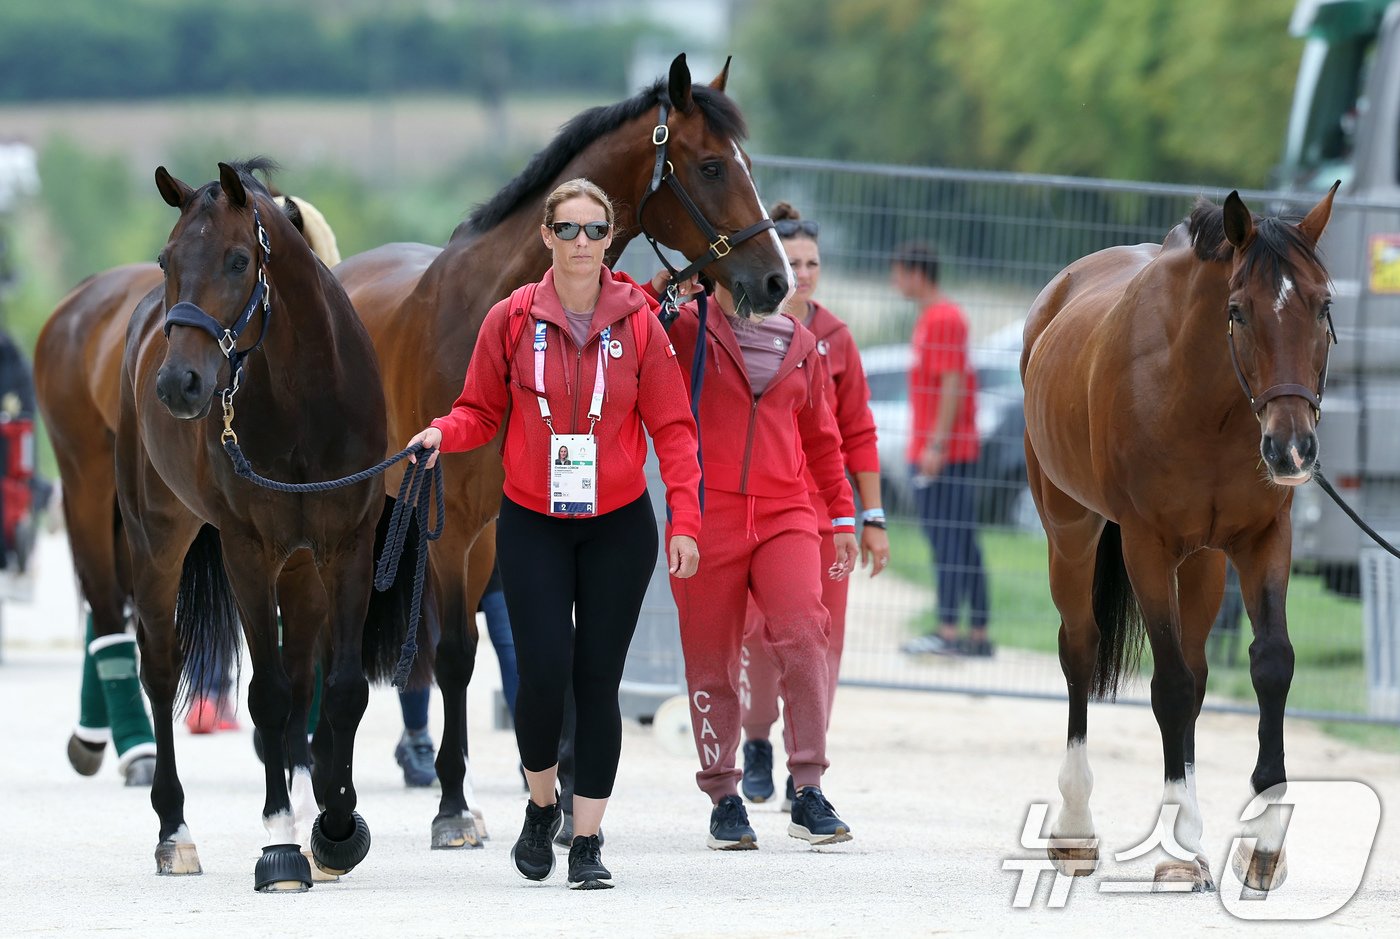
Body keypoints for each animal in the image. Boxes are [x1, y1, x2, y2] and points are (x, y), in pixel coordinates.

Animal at [114, 163, 400, 895]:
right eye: (166, 259)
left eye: (239, 260)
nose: (179, 384)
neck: (304, 400)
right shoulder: (247, 552)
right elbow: (266, 696)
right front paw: (280, 844)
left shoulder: (346, 548)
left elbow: (341, 689)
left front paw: (336, 826)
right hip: (157, 543)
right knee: (161, 668)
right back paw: (175, 833)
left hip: (299, 571)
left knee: (301, 676)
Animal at [334, 53, 795, 850]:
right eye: (711, 166)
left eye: (748, 164)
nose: (773, 282)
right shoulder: (457, 528)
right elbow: (456, 657)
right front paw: (454, 807)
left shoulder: (505, 530)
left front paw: (566, 800)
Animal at [1024, 186, 1338, 895]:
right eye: (1237, 311)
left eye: (1323, 304)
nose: (1293, 449)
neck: (1205, 399)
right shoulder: (1147, 546)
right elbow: (1166, 684)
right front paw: (1181, 846)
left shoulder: (1262, 540)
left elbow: (1270, 665)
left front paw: (1265, 844)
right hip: (1071, 533)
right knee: (1080, 651)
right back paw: (1076, 830)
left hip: (1204, 565)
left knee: (1196, 674)